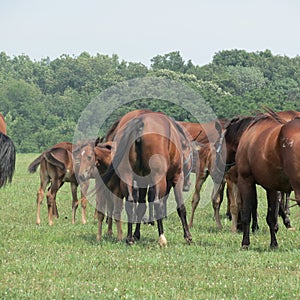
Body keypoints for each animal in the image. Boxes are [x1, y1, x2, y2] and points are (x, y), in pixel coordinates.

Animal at [99, 111, 191, 245]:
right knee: (157, 203)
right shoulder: (176, 178)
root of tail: (139, 124)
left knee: (131, 202)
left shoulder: (142, 180)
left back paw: (129, 238)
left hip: (127, 175)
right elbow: (181, 207)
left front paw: (136, 234)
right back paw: (162, 238)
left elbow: (141, 206)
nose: (188, 186)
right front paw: (188, 236)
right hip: (158, 176)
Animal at [236, 112, 300, 248]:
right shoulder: (272, 187)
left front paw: (245, 243)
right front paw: (274, 243)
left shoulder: (245, 181)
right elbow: (271, 217)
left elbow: (246, 214)